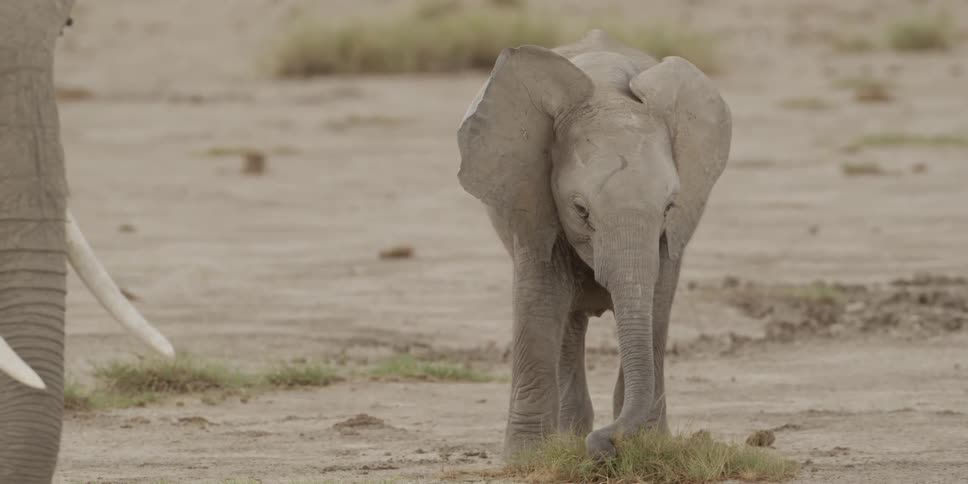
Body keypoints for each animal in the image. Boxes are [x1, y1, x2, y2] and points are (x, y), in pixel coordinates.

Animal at [457, 30, 731, 459]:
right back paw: (569, 437)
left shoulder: (673, 233)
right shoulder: (533, 199)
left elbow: (658, 306)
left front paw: (649, 444)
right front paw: (525, 459)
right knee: (568, 323)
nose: (605, 447)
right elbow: (539, 302)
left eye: (670, 206)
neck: (607, 91)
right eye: (580, 210)